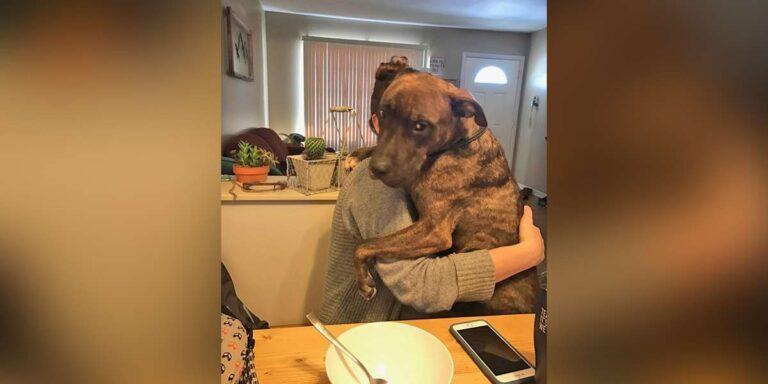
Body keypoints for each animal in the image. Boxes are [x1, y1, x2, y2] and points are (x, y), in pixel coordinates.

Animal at [352, 59, 536, 312]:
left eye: (420, 125)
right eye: (383, 113)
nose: (377, 169)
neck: (457, 142)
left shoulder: (433, 230)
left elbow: (365, 245)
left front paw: (363, 282)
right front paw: (358, 154)